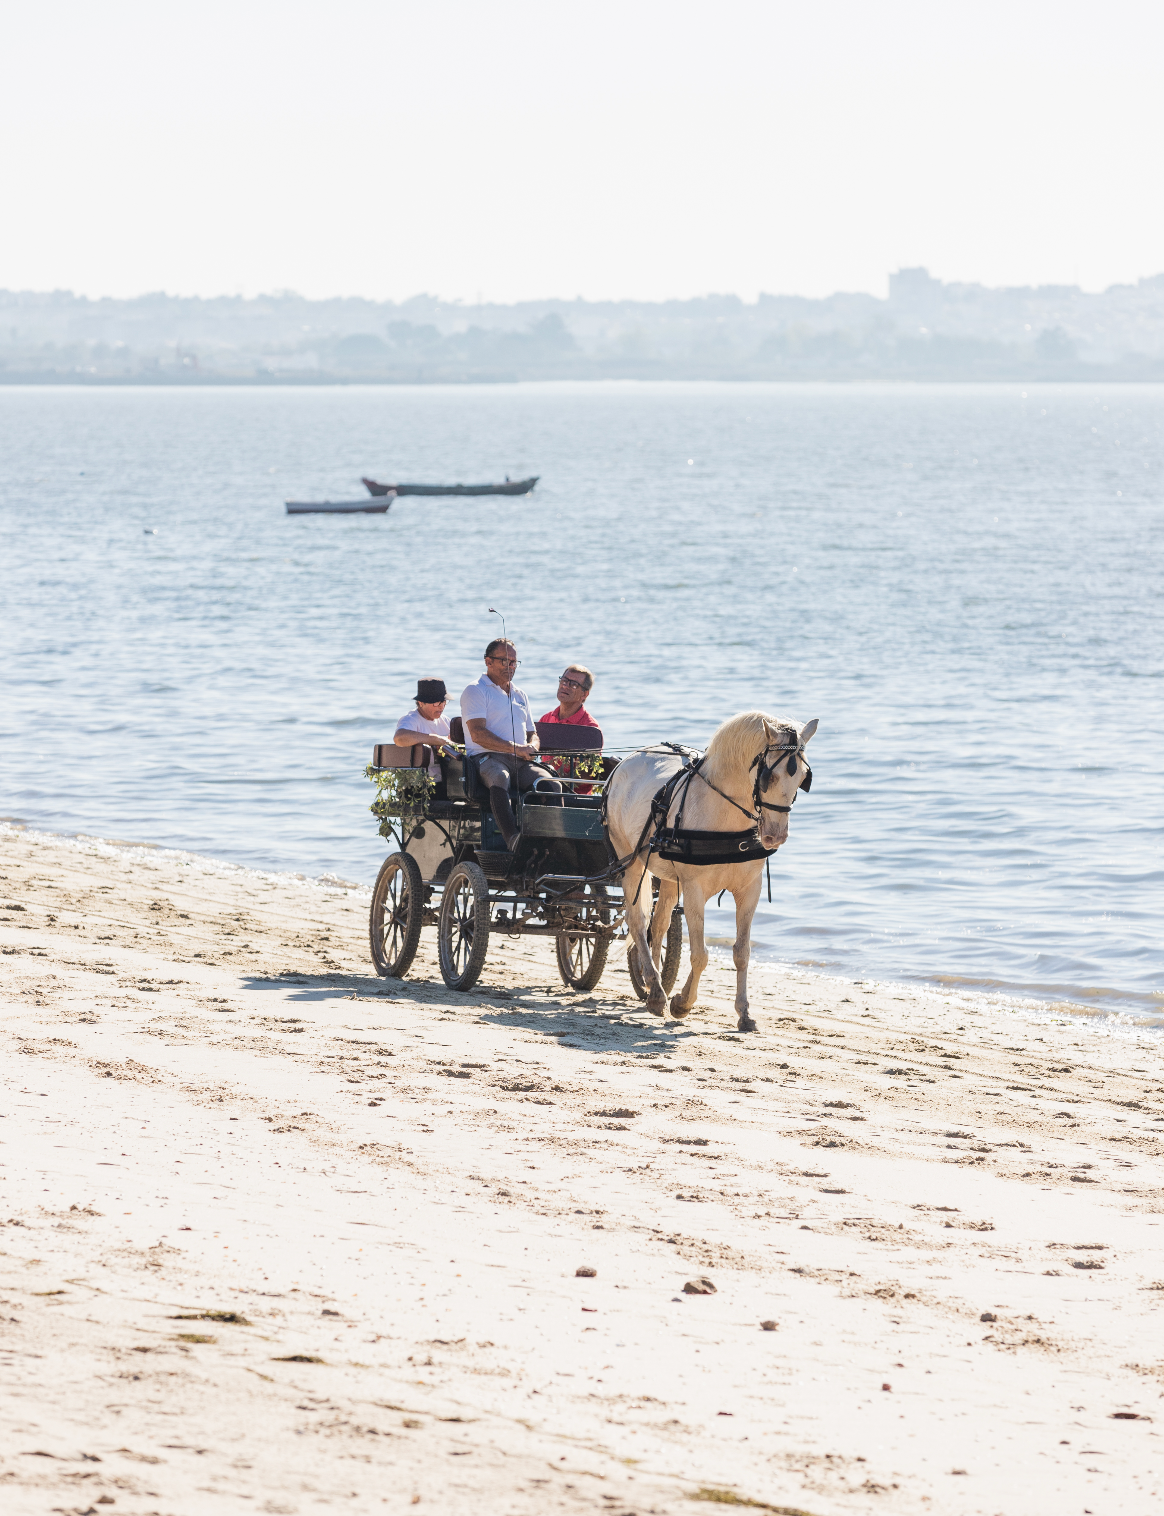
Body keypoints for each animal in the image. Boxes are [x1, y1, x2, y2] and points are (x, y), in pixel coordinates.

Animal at [600, 709, 818, 1030]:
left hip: (668, 876)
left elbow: (742, 953)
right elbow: (700, 954)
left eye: (803, 777)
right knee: (638, 921)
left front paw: (743, 1012)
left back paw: (655, 987)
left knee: (659, 923)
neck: (724, 813)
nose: (775, 836)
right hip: (632, 862)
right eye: (770, 776)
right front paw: (683, 1003)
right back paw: (656, 991)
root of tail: (626, 761)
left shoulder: (748, 890)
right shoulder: (694, 890)